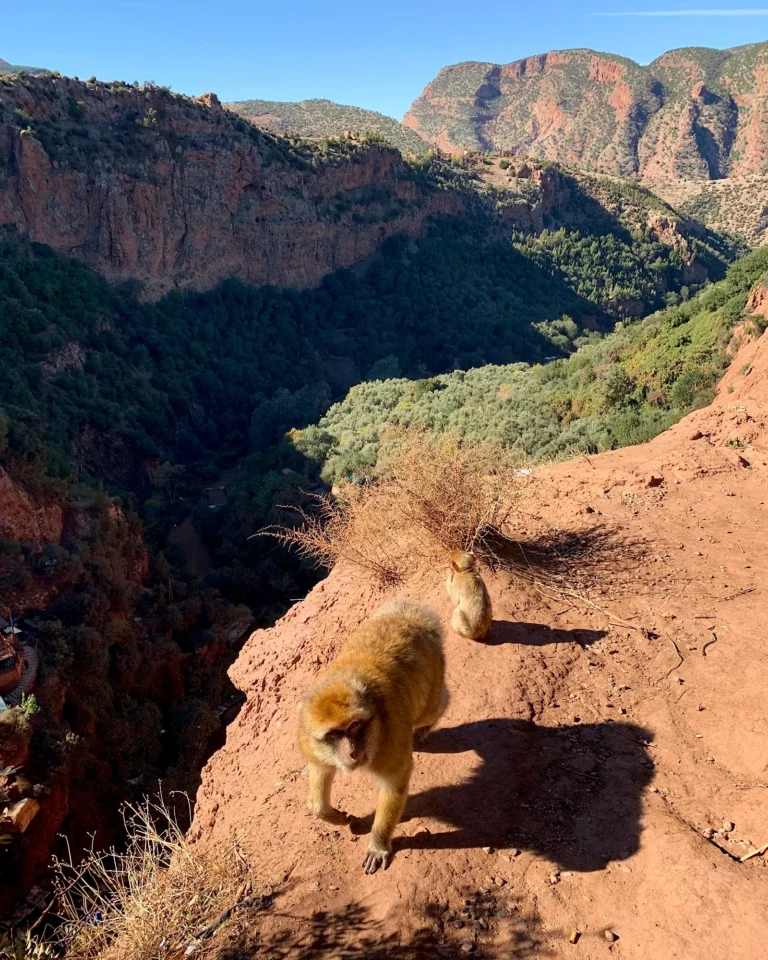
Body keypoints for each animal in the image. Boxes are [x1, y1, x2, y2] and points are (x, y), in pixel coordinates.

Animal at [298, 597, 448, 874]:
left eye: (354, 726)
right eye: (335, 733)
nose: (352, 751)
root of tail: (412, 618)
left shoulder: (391, 740)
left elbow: (393, 785)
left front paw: (378, 843)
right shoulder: (309, 742)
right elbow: (319, 781)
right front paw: (333, 815)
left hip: (433, 670)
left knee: (433, 708)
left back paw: (428, 723)